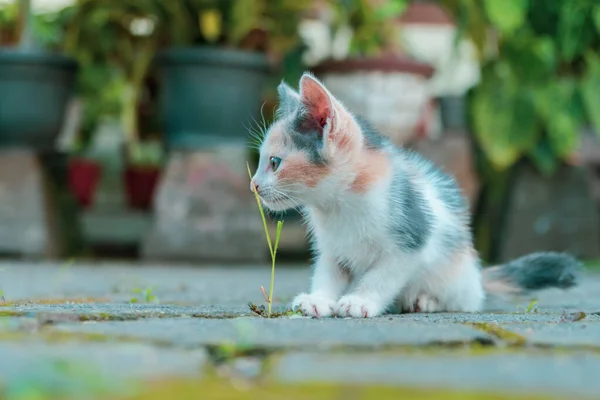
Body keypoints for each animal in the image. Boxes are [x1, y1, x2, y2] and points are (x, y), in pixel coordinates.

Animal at [250, 70, 580, 318]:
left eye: (274, 163)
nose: (253, 184)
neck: (338, 204)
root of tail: (477, 278)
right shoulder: (332, 249)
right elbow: (327, 273)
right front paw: (318, 299)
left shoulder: (412, 240)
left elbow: (382, 277)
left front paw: (361, 301)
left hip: (455, 273)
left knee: (465, 301)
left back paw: (425, 301)